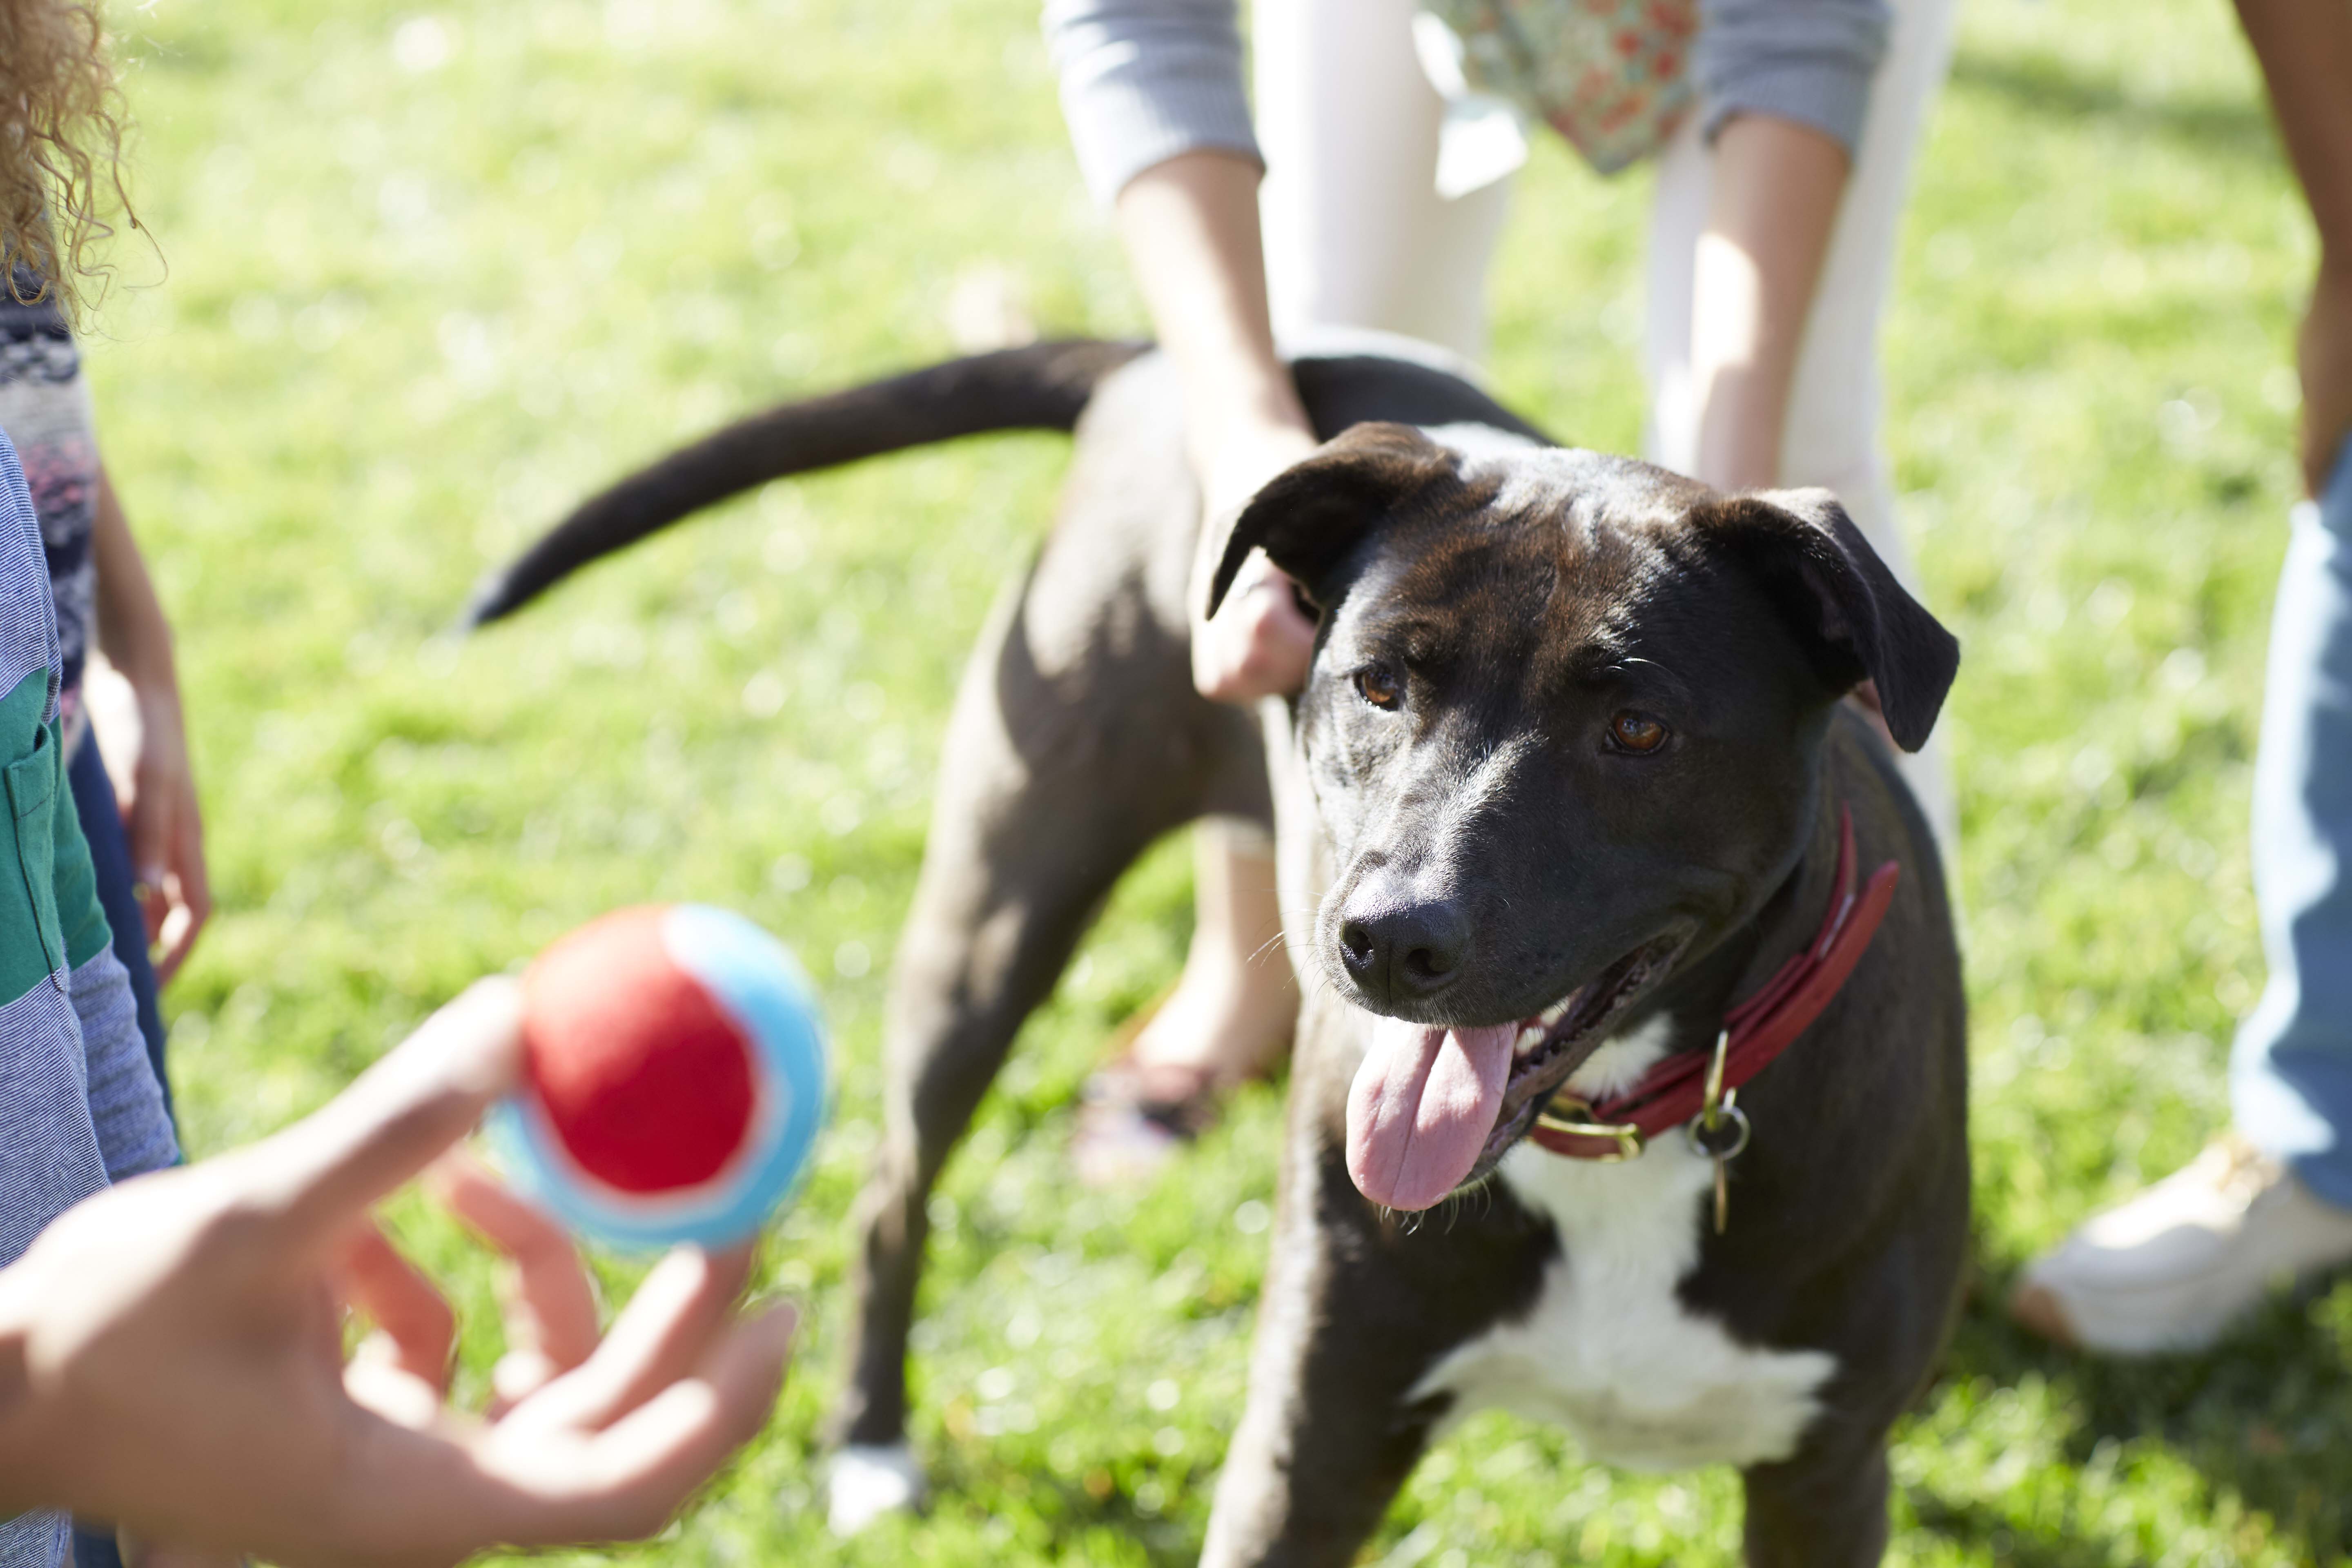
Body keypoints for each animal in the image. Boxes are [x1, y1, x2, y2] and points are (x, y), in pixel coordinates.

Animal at [472, 339, 1966, 1561]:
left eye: (1639, 727)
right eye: (1378, 684)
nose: (1384, 943)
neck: (1618, 1133)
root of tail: (1146, 364)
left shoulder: (1827, 1480)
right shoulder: (1312, 1447)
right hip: (1000, 908)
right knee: (895, 1190)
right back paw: (871, 1447)